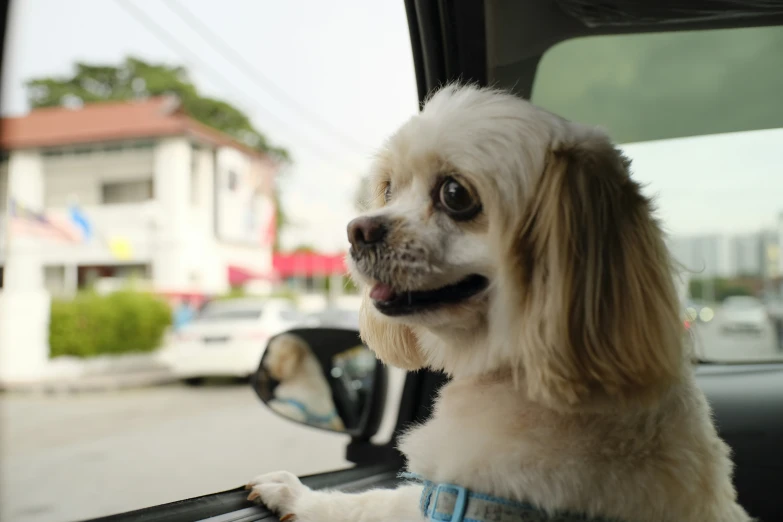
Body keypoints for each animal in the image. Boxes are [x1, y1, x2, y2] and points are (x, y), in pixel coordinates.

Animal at [248, 85, 752, 520]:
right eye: (389, 189)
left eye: (455, 194)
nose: (357, 231)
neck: (516, 377)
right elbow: (374, 500)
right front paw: (293, 491)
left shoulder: (464, 498)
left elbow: (368, 507)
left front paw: (302, 498)